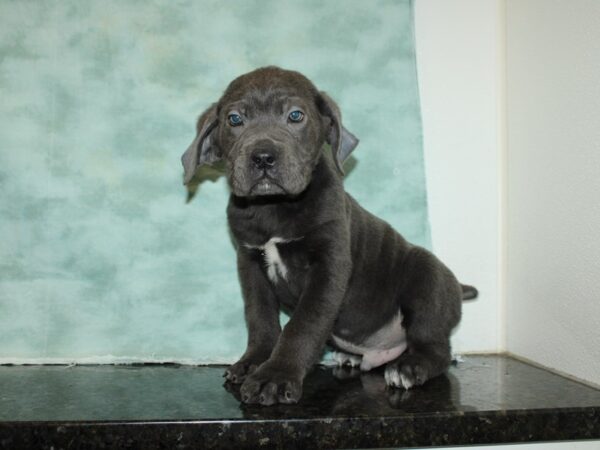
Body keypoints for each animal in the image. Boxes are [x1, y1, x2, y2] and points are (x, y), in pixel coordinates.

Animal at [180, 67, 476, 408]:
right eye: (234, 119)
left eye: (296, 116)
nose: (263, 157)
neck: (273, 208)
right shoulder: (250, 264)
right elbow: (260, 319)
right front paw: (254, 362)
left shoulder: (329, 265)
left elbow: (303, 324)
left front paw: (276, 376)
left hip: (426, 275)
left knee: (437, 347)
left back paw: (410, 368)